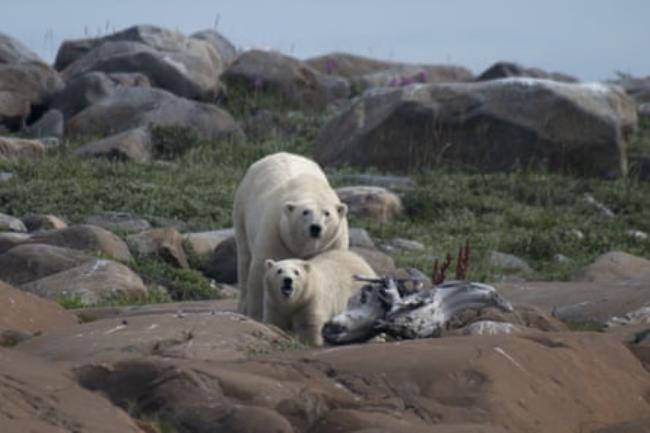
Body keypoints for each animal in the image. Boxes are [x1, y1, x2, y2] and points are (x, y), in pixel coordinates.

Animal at [233, 152, 349, 320]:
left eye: (327, 213)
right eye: (305, 212)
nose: (315, 228)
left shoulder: (334, 241)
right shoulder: (276, 232)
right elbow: (261, 272)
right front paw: (258, 316)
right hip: (242, 207)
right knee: (244, 258)